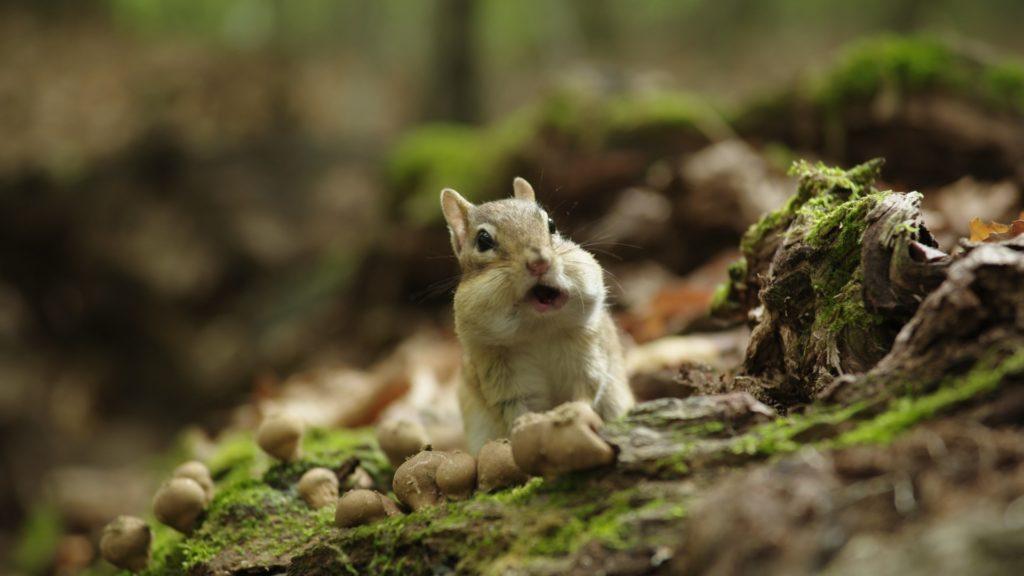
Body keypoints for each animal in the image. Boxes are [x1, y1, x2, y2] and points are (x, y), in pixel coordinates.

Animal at [440, 177, 634, 454]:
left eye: (551, 224)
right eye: (483, 241)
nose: (539, 262)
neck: (539, 330)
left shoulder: (589, 354)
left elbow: (587, 390)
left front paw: (574, 412)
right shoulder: (501, 378)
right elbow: (515, 410)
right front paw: (526, 426)